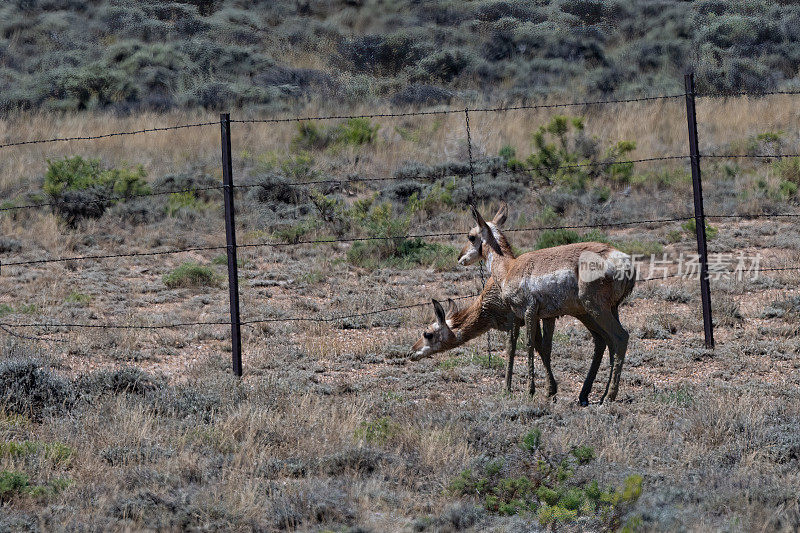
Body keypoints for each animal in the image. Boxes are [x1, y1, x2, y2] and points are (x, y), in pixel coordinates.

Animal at [412, 204, 636, 404]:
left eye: (471, 236)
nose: (411, 352)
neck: (509, 268)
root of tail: (623, 259)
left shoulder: (525, 313)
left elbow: (522, 346)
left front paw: (524, 390)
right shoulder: (545, 317)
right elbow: (543, 347)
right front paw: (548, 391)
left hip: (595, 310)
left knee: (620, 337)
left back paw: (608, 397)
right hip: (601, 311)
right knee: (607, 342)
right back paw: (593, 395)